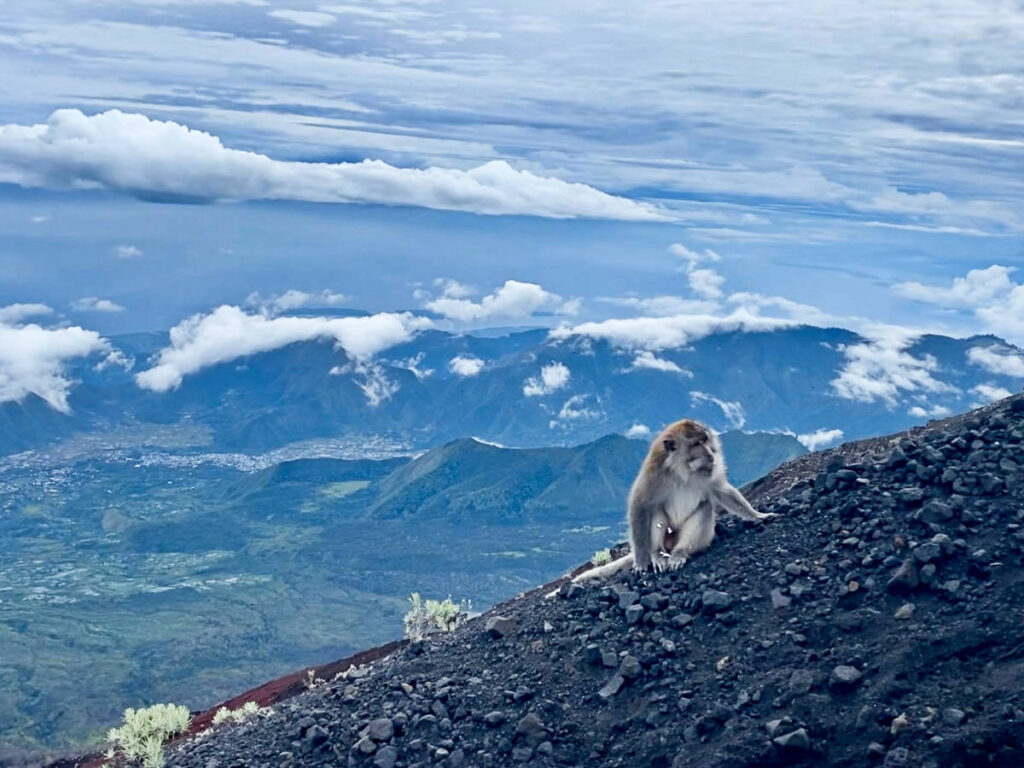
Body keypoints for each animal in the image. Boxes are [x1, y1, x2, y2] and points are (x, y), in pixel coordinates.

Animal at [575, 418, 772, 581]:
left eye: (706, 441)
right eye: (697, 443)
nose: (711, 454)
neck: (683, 471)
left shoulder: (711, 471)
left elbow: (722, 491)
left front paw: (758, 515)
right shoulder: (653, 473)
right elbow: (640, 505)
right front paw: (641, 560)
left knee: (705, 507)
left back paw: (679, 554)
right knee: (656, 511)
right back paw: (657, 554)